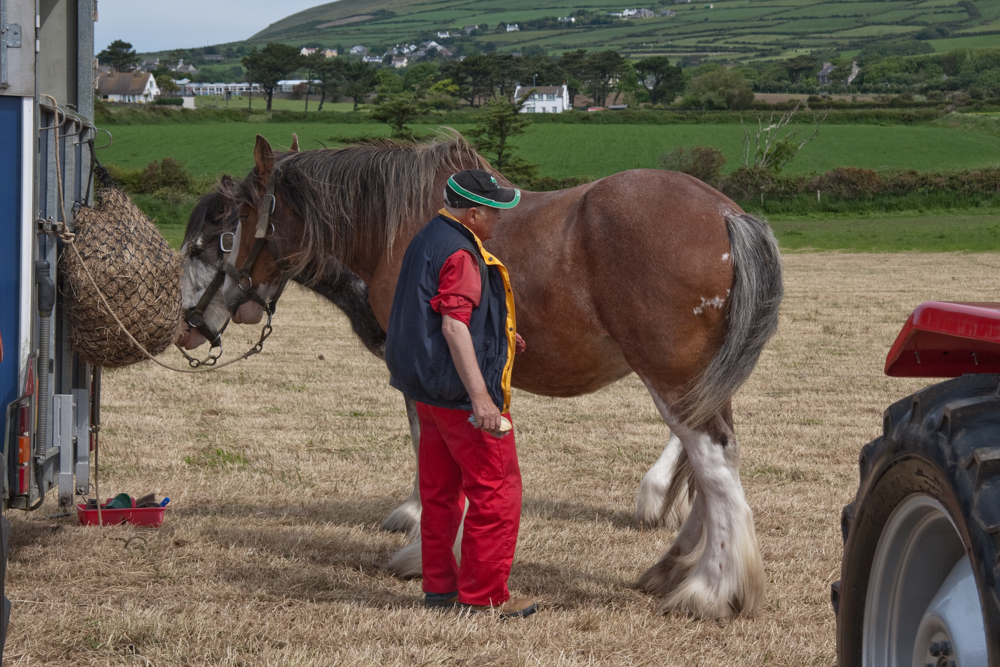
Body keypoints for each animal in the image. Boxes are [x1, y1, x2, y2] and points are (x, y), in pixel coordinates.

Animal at [223, 132, 784, 620]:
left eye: (242, 214)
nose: (233, 293)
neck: (406, 225)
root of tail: (727, 213)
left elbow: (434, 459)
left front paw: (429, 552)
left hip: (672, 378)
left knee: (713, 461)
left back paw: (711, 589)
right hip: (703, 382)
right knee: (712, 465)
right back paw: (676, 568)